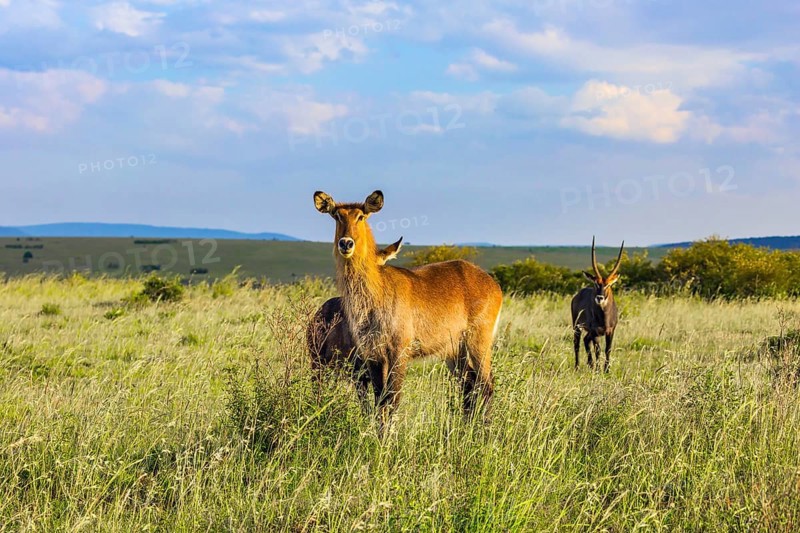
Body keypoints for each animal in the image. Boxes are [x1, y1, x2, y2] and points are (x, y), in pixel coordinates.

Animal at [571, 237, 624, 372]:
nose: (599, 298)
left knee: (585, 340)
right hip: (577, 327)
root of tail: (578, 294)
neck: (604, 317)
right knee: (577, 344)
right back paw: (578, 367)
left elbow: (608, 349)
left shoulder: (610, 331)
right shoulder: (596, 332)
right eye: (596, 283)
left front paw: (606, 370)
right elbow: (598, 350)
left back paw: (590, 365)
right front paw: (598, 370)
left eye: (608, 285)